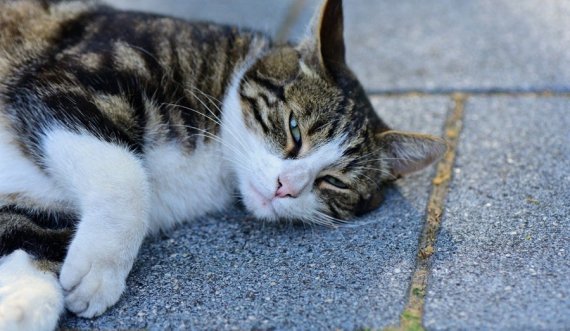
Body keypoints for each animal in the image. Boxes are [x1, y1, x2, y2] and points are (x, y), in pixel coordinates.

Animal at [0, 0, 446, 330]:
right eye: (294, 128)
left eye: (334, 182)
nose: (286, 186)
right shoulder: (75, 78)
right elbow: (126, 177)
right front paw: (101, 267)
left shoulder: (37, 201)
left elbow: (30, 238)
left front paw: (23, 305)